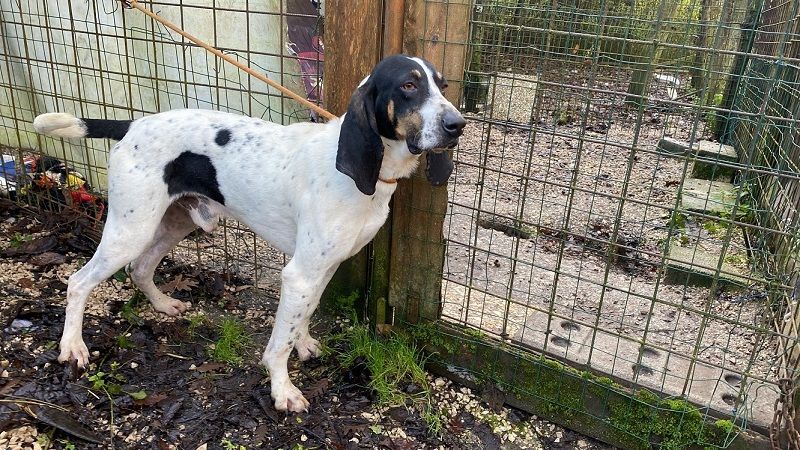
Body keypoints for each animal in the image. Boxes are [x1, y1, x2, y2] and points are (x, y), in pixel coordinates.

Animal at [32, 54, 466, 412]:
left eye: (443, 86)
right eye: (408, 86)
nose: (457, 125)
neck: (368, 175)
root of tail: (133, 124)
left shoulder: (321, 269)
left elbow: (303, 315)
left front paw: (303, 343)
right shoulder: (300, 273)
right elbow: (278, 343)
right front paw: (282, 389)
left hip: (176, 222)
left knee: (140, 268)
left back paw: (164, 305)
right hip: (130, 228)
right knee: (78, 281)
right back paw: (72, 346)